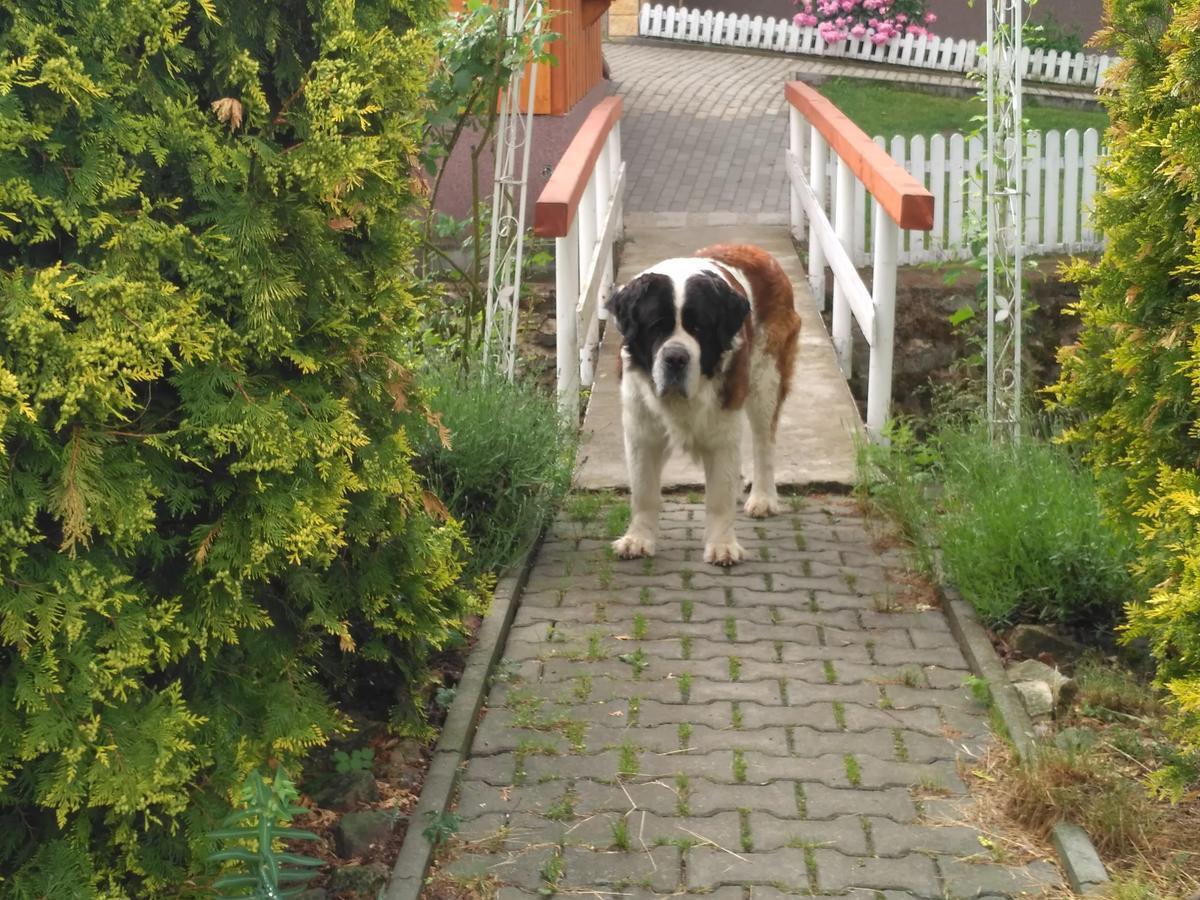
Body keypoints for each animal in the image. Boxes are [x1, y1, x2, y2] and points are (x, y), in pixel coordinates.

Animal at [604, 244, 801, 571]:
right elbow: (643, 492)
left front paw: (722, 545)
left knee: (764, 443)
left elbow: (718, 497)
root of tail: (755, 250)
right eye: (656, 326)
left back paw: (763, 498)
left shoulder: (723, 428)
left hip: (766, 379)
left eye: (698, 328)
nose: (675, 358)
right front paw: (638, 539)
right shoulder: (641, 431)